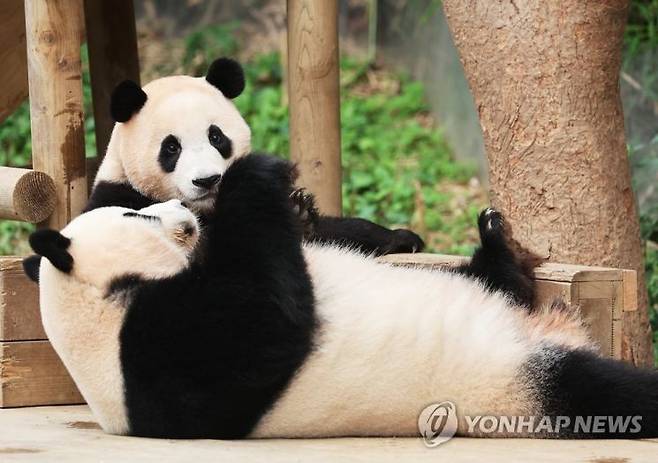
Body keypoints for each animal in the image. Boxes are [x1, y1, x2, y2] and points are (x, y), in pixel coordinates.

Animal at [23, 155, 656, 438]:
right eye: (136, 213)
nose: (183, 209)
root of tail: (543, 337)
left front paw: (298, 208)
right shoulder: (157, 350)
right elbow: (265, 325)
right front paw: (256, 173)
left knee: (489, 278)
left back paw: (495, 238)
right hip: (510, 378)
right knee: (607, 394)